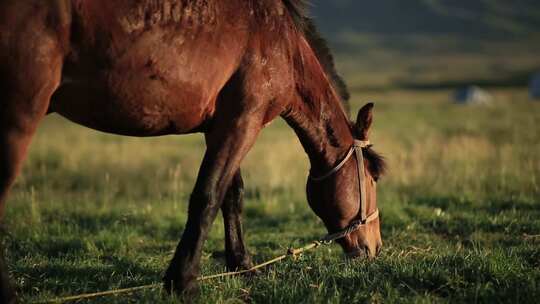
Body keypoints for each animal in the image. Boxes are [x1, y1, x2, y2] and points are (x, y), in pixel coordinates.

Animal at [2, 0, 386, 302]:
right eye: (372, 179)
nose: (376, 247)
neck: (285, 47)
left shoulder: (220, 125)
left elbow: (232, 196)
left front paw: (243, 267)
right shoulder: (244, 121)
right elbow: (208, 196)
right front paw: (183, 281)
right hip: (19, 117)